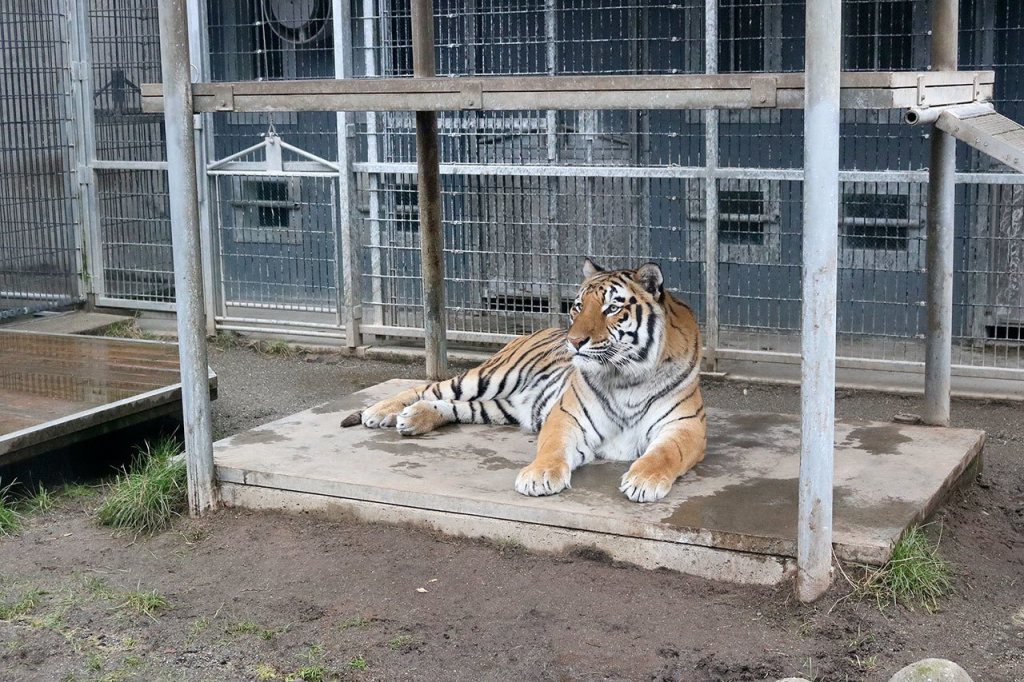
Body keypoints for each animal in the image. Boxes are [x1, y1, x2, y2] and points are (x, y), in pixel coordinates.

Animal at [341, 258, 706, 503]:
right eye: (577, 307)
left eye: (612, 309)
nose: (574, 341)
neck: (625, 376)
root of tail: (530, 332)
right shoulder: (567, 416)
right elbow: (552, 446)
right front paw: (539, 476)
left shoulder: (685, 426)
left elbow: (666, 453)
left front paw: (644, 480)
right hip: (491, 376)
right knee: (429, 387)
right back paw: (380, 412)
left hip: (500, 406)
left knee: (455, 405)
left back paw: (415, 418)